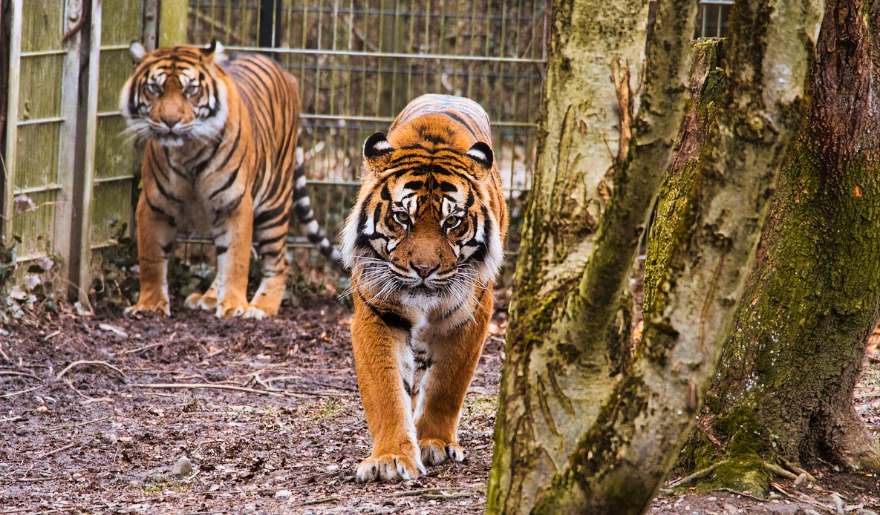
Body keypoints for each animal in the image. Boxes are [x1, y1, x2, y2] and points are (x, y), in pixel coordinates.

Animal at [119, 40, 339, 319]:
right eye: (154, 88)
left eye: (191, 90)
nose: (170, 121)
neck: (188, 151)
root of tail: (283, 71)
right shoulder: (153, 204)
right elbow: (151, 260)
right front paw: (150, 304)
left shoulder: (234, 204)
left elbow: (236, 259)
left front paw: (234, 306)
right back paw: (210, 297)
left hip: (274, 204)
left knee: (279, 262)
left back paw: (261, 307)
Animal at [340, 94, 508, 481]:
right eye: (403, 217)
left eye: (452, 221)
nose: (424, 269)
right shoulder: (378, 311)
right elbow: (386, 390)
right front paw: (390, 458)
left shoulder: (470, 315)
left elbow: (447, 383)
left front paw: (434, 442)